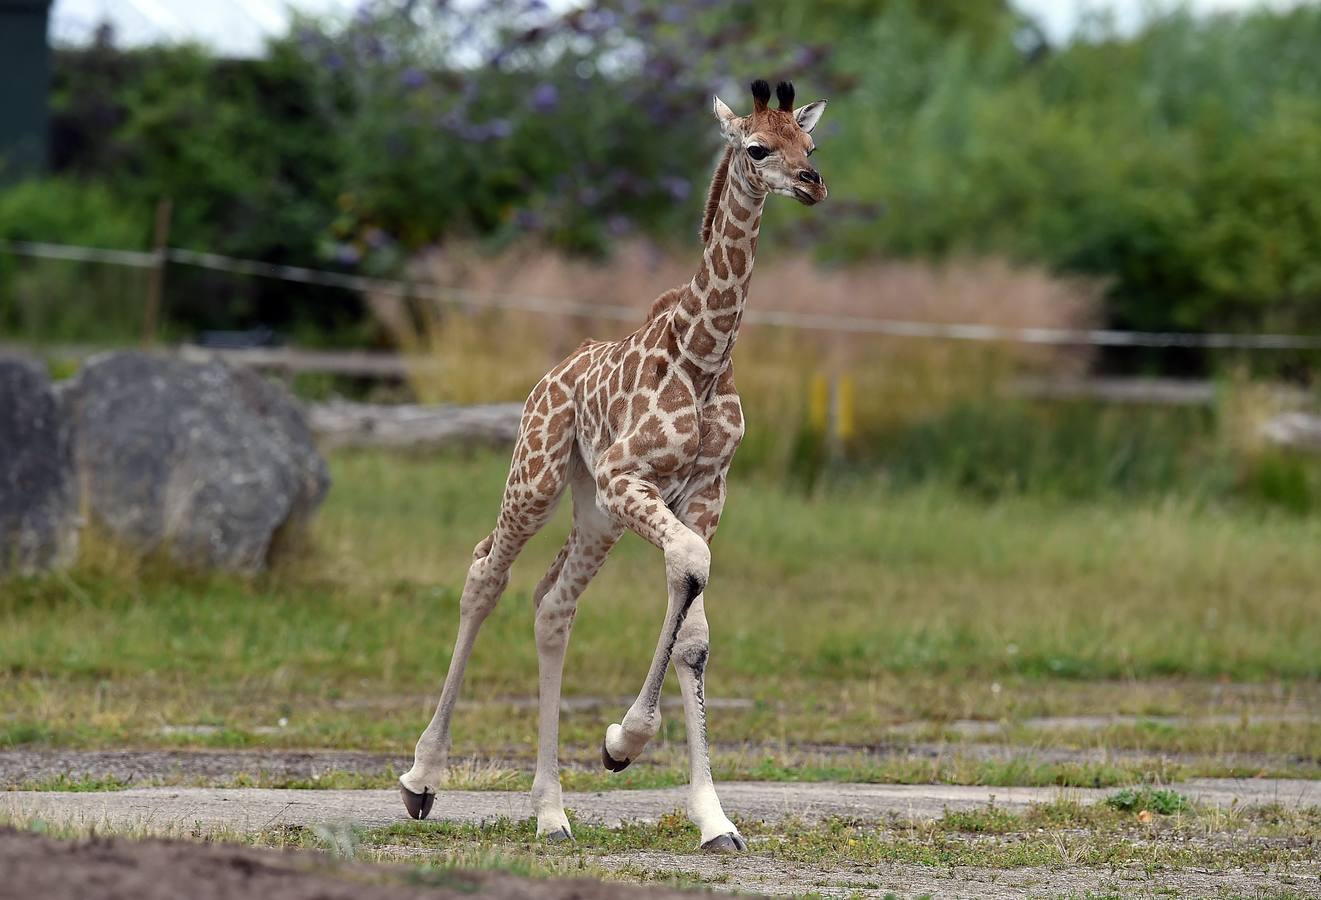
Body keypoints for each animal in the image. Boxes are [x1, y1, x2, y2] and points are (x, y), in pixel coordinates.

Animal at [396, 77, 824, 851]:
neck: (703, 359)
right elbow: (688, 574)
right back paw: (421, 780)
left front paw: (712, 817)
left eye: (809, 142)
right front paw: (623, 741)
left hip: (594, 513)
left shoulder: (706, 492)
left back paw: (551, 813)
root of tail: (549, 377)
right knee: (485, 573)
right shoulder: (633, 478)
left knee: (552, 605)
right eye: (757, 147)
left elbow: (694, 635)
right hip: (537, 475)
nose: (812, 183)